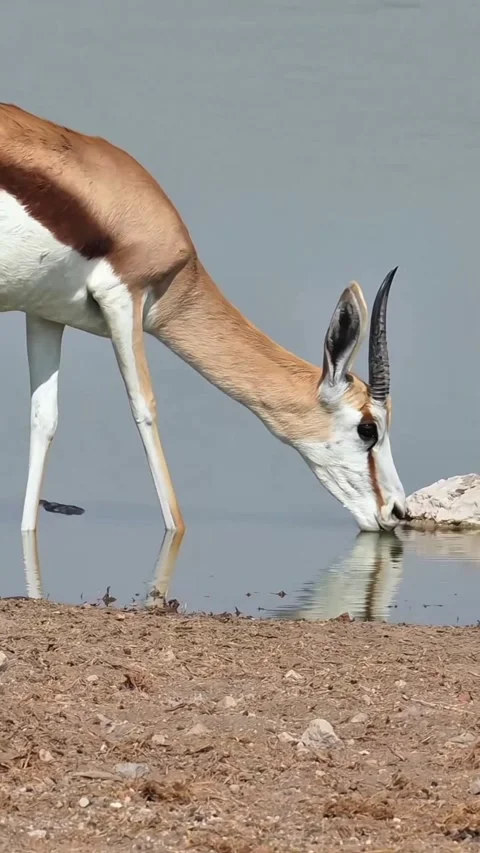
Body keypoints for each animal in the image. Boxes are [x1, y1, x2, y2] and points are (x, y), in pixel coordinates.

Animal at [0, 103, 405, 537]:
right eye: (368, 428)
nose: (397, 511)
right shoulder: (123, 298)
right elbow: (145, 409)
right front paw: (176, 529)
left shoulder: (43, 312)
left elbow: (44, 420)